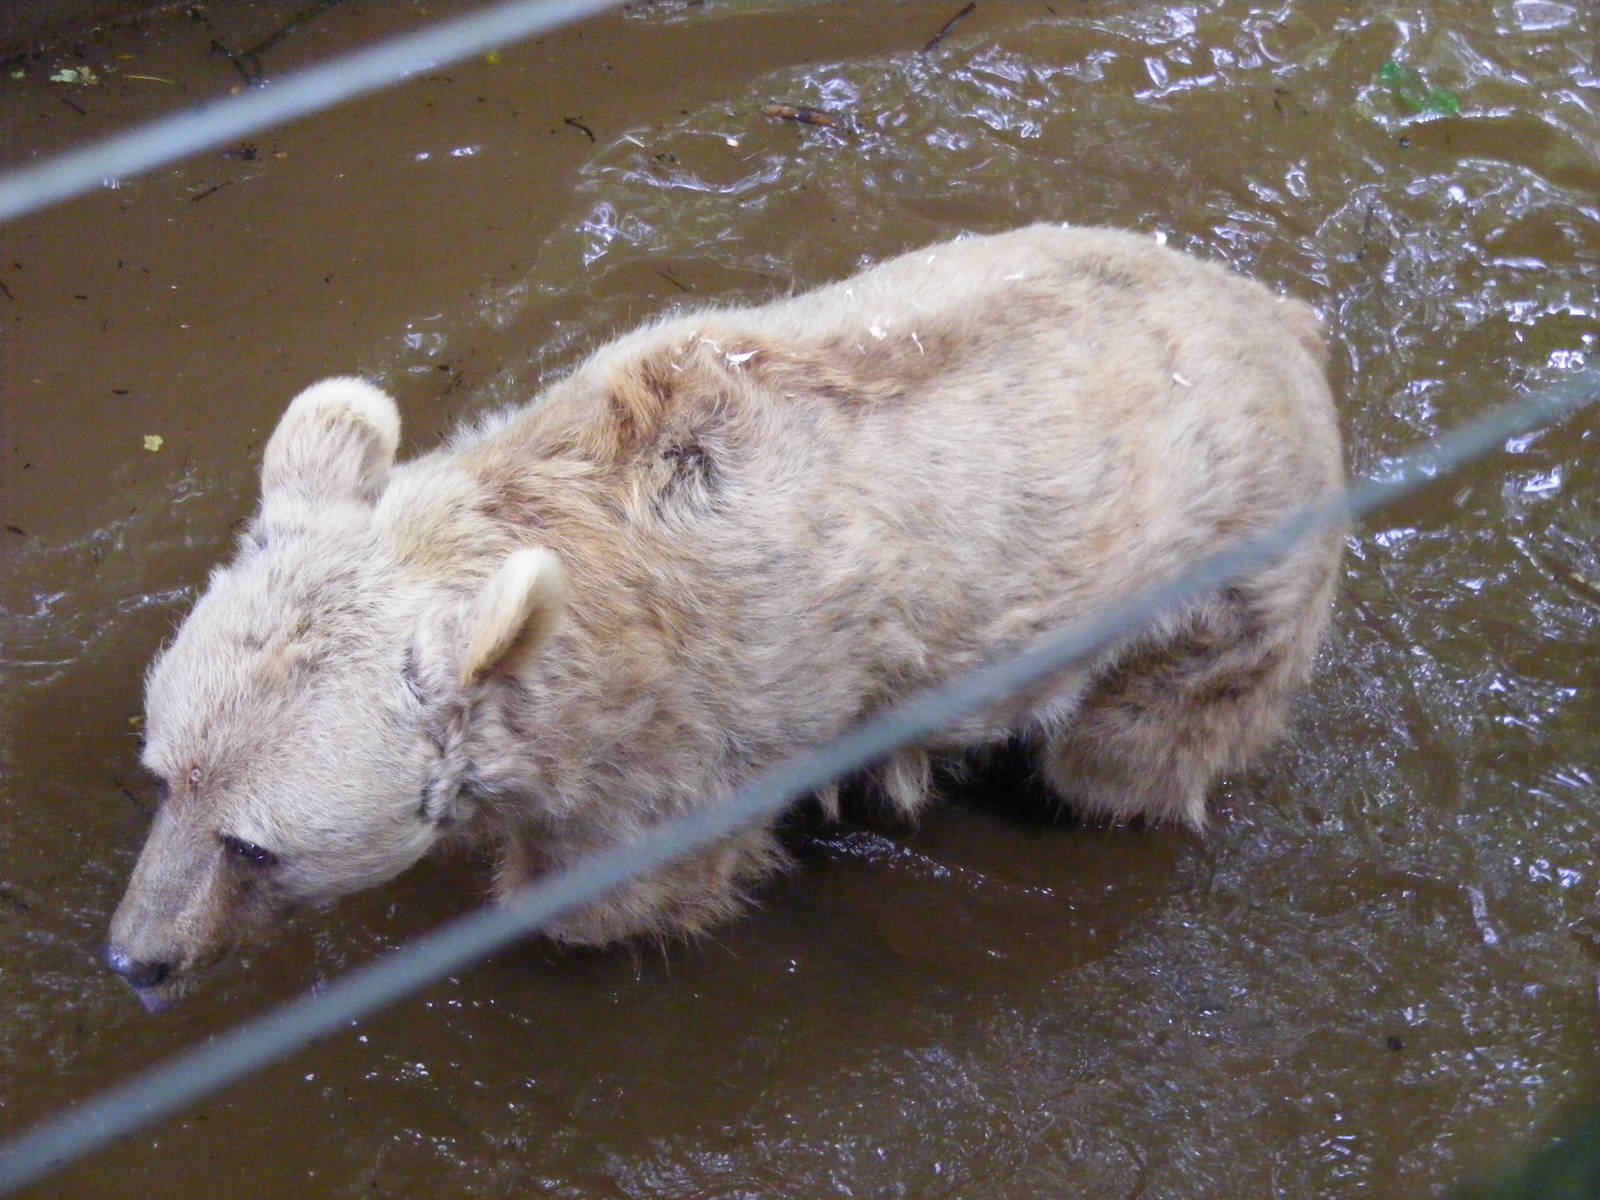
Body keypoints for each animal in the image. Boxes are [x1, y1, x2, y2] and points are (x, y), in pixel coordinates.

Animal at [105, 224, 1344, 1009]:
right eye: (164, 775)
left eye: (255, 844)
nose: (136, 958)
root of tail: (1283, 316)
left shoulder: (688, 736)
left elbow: (619, 890)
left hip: (1224, 578)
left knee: (1133, 750)